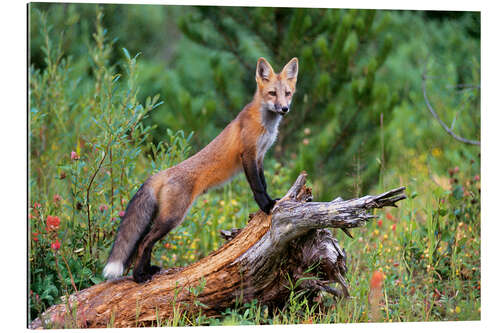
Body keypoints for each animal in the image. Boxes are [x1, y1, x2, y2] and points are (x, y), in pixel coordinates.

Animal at [101, 56, 296, 280]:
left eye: (287, 93)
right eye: (272, 93)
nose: (284, 109)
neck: (265, 124)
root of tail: (162, 173)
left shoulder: (260, 156)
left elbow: (263, 183)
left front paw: (272, 200)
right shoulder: (248, 155)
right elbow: (257, 187)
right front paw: (267, 206)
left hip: (162, 217)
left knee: (146, 243)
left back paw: (147, 271)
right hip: (172, 218)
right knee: (144, 243)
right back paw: (139, 277)